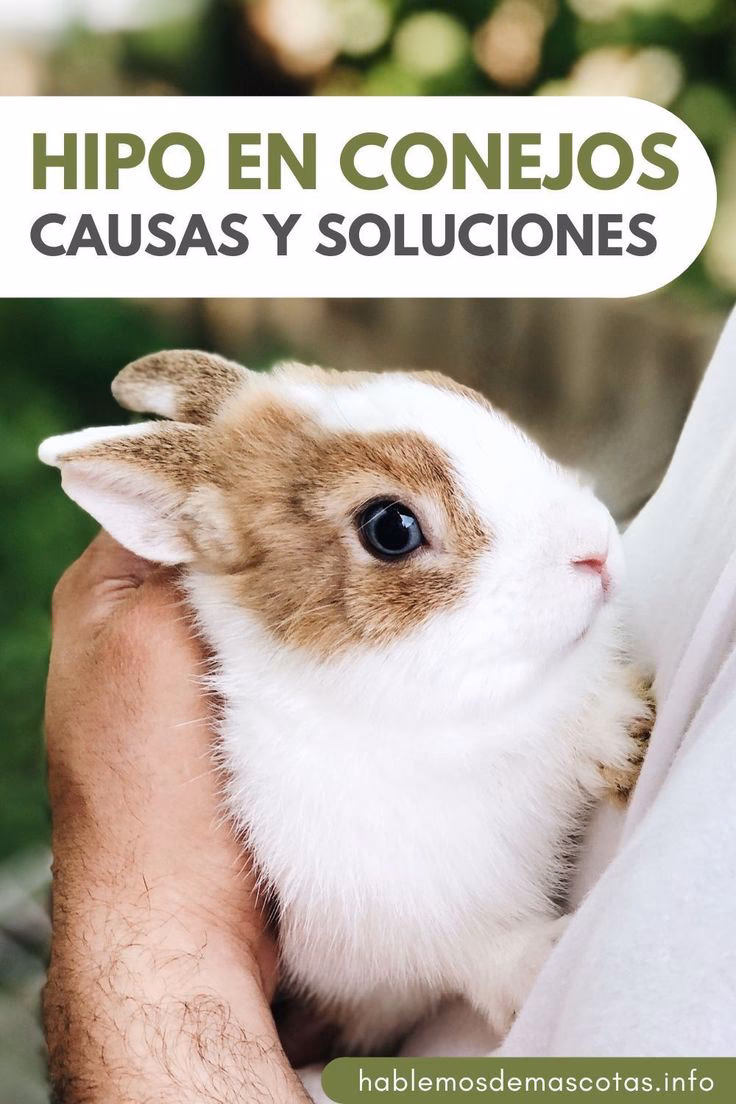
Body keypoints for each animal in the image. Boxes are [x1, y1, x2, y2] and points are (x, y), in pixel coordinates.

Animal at [39, 350, 652, 1054]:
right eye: (391, 529)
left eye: (468, 398)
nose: (596, 549)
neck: (451, 713)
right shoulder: (378, 919)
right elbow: (469, 949)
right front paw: (543, 963)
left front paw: (626, 729)